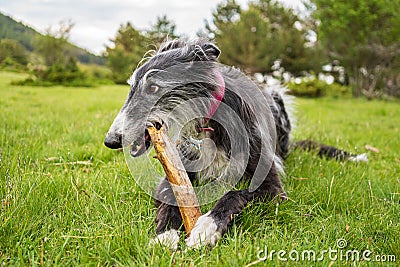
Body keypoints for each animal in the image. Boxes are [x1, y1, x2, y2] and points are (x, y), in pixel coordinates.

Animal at [104, 38, 368, 250]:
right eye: (131, 88)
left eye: (153, 87)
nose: (111, 140)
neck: (207, 125)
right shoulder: (173, 175)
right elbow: (171, 200)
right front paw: (165, 235)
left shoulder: (273, 189)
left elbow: (234, 193)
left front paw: (208, 226)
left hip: (278, 99)